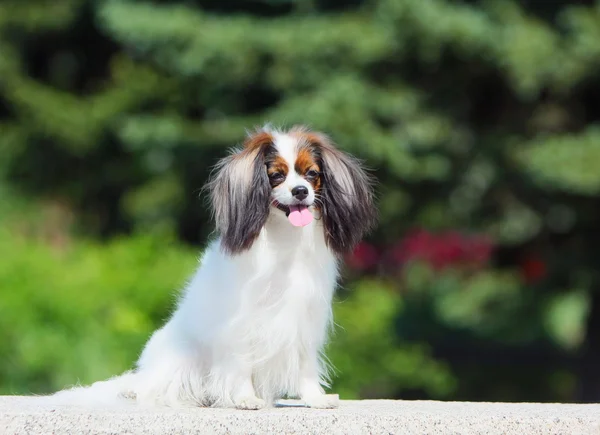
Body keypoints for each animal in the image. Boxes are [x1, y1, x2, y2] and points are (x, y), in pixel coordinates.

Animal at [50, 125, 376, 408]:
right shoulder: (241, 324)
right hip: (180, 360)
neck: (284, 239)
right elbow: (241, 363)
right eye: (276, 176)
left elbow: (305, 364)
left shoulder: (305, 319)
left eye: (312, 175)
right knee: (153, 386)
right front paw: (245, 399)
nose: (300, 191)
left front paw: (315, 398)